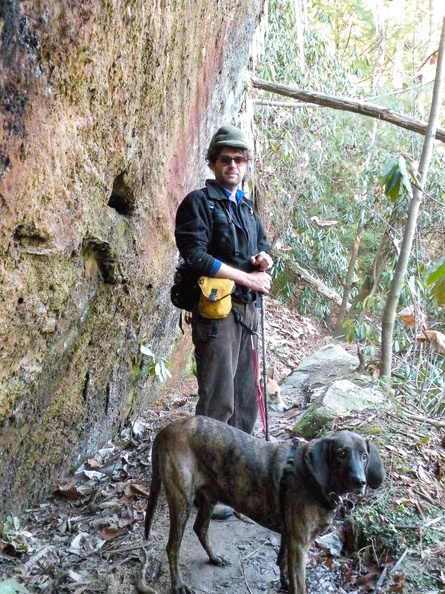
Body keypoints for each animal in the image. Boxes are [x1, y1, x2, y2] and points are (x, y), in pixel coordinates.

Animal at [144, 414, 384, 592]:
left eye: (364, 456)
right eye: (341, 454)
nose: (360, 482)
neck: (313, 477)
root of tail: (165, 430)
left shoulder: (290, 536)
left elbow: (283, 561)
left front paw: (284, 581)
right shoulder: (300, 544)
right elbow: (300, 583)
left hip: (209, 497)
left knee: (200, 528)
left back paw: (214, 558)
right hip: (182, 501)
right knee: (172, 547)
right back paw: (178, 585)